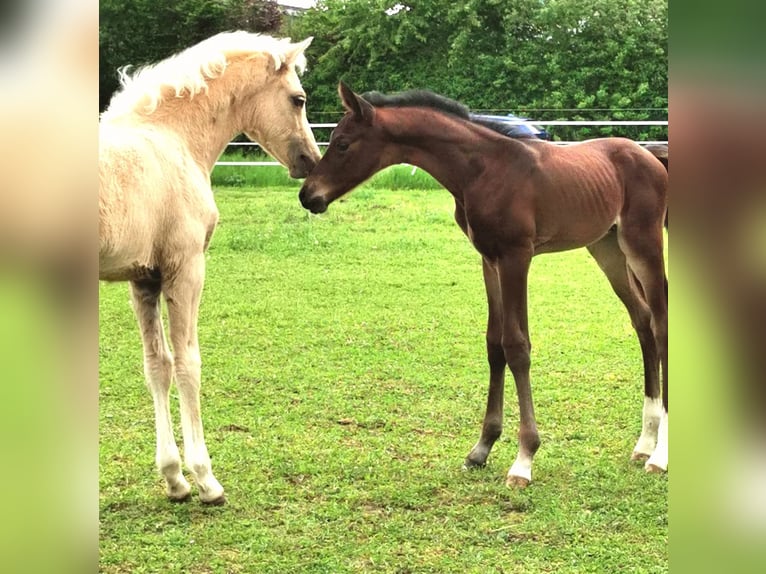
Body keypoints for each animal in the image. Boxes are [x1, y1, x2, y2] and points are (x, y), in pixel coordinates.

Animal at [99, 31, 320, 504]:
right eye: (298, 99)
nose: (310, 162)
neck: (172, 139)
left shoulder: (143, 278)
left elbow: (157, 365)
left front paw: (174, 478)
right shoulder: (186, 269)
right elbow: (188, 364)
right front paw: (205, 479)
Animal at [298, 84, 664, 490]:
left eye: (343, 143)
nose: (307, 195)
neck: (483, 170)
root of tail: (649, 155)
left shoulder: (516, 256)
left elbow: (517, 346)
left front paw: (524, 459)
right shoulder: (490, 260)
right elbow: (494, 345)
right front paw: (482, 448)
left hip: (643, 244)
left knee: (661, 324)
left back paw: (660, 456)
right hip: (608, 249)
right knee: (642, 321)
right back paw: (645, 442)